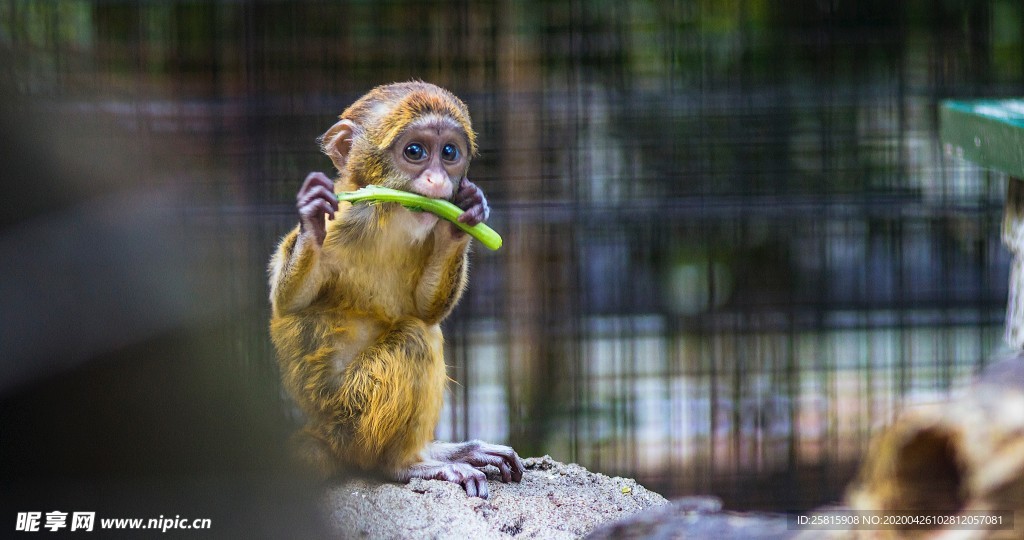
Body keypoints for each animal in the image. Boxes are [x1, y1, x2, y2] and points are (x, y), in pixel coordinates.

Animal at [268, 80, 524, 497]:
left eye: (449, 153)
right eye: (415, 152)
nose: (438, 181)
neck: (388, 218)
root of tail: (323, 433)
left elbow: (425, 309)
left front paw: (464, 217)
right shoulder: (344, 220)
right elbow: (289, 304)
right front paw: (311, 219)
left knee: (423, 329)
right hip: (352, 416)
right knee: (415, 339)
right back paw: (403, 464)